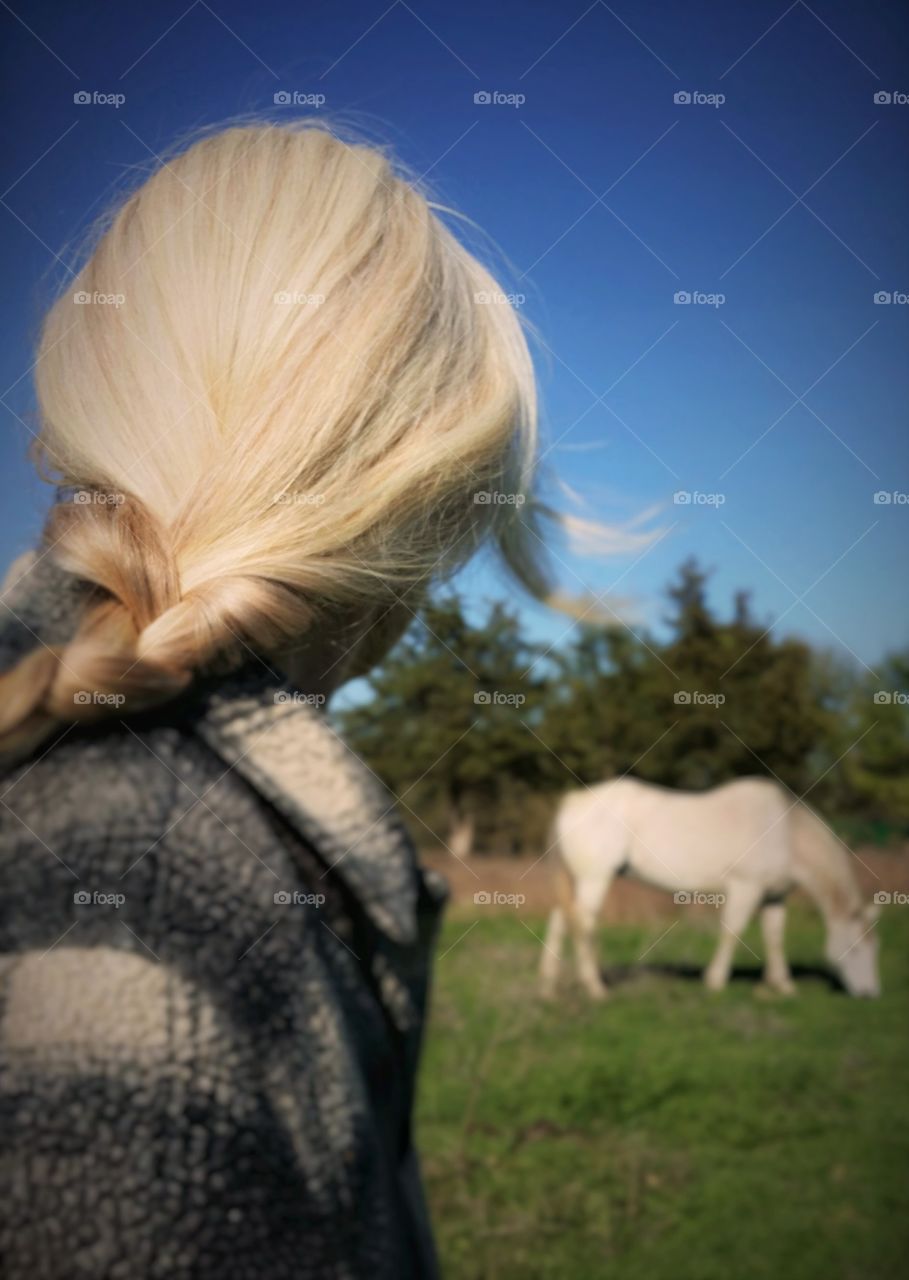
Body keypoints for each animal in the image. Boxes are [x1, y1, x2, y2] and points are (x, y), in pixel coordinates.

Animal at [540, 773, 880, 1003]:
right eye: (857, 947)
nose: (870, 994)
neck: (786, 833)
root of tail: (573, 800)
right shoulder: (745, 888)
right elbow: (732, 932)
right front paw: (715, 981)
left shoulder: (773, 896)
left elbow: (774, 938)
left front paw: (782, 985)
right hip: (594, 879)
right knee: (583, 924)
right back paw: (595, 988)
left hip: (574, 881)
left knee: (560, 921)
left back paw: (549, 987)